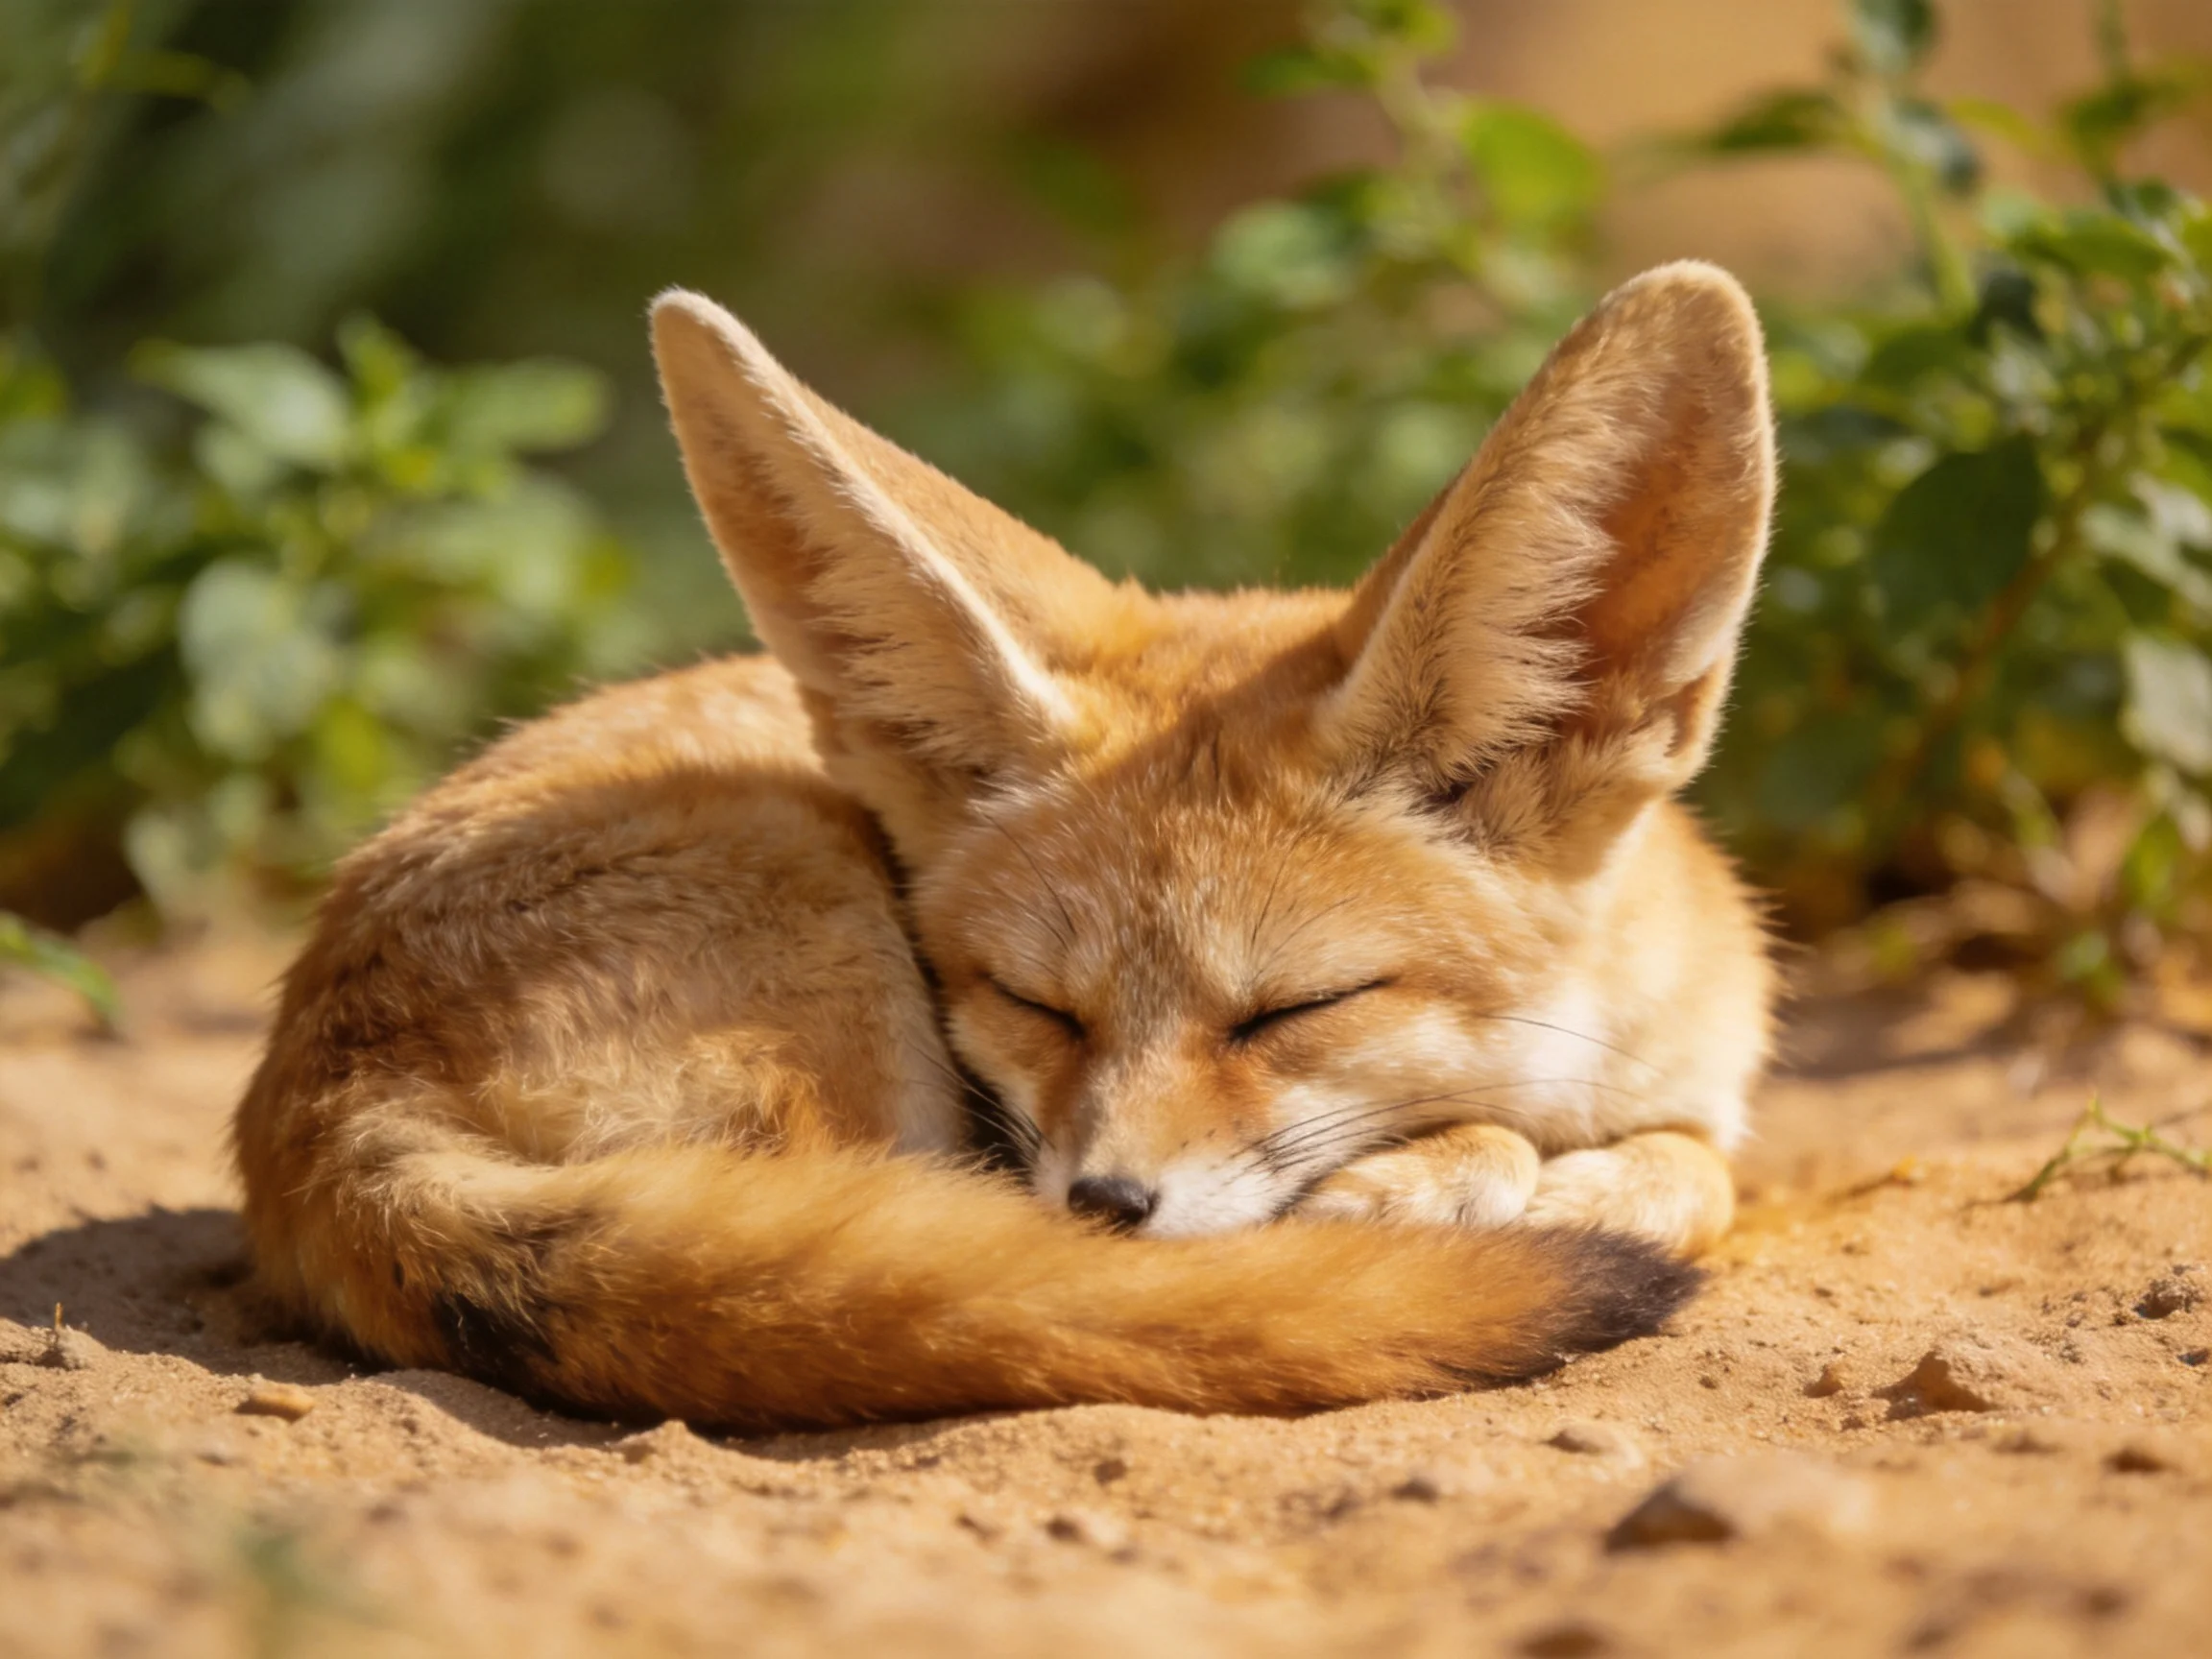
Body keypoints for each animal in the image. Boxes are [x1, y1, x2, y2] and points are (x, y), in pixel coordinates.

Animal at [231, 261, 1776, 1431]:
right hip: (821, 936)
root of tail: (319, 1109)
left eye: (1295, 1009)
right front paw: (1448, 1184)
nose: (1103, 1204)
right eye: (1036, 1004)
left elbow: (1693, 1168)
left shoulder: (1696, 1096)